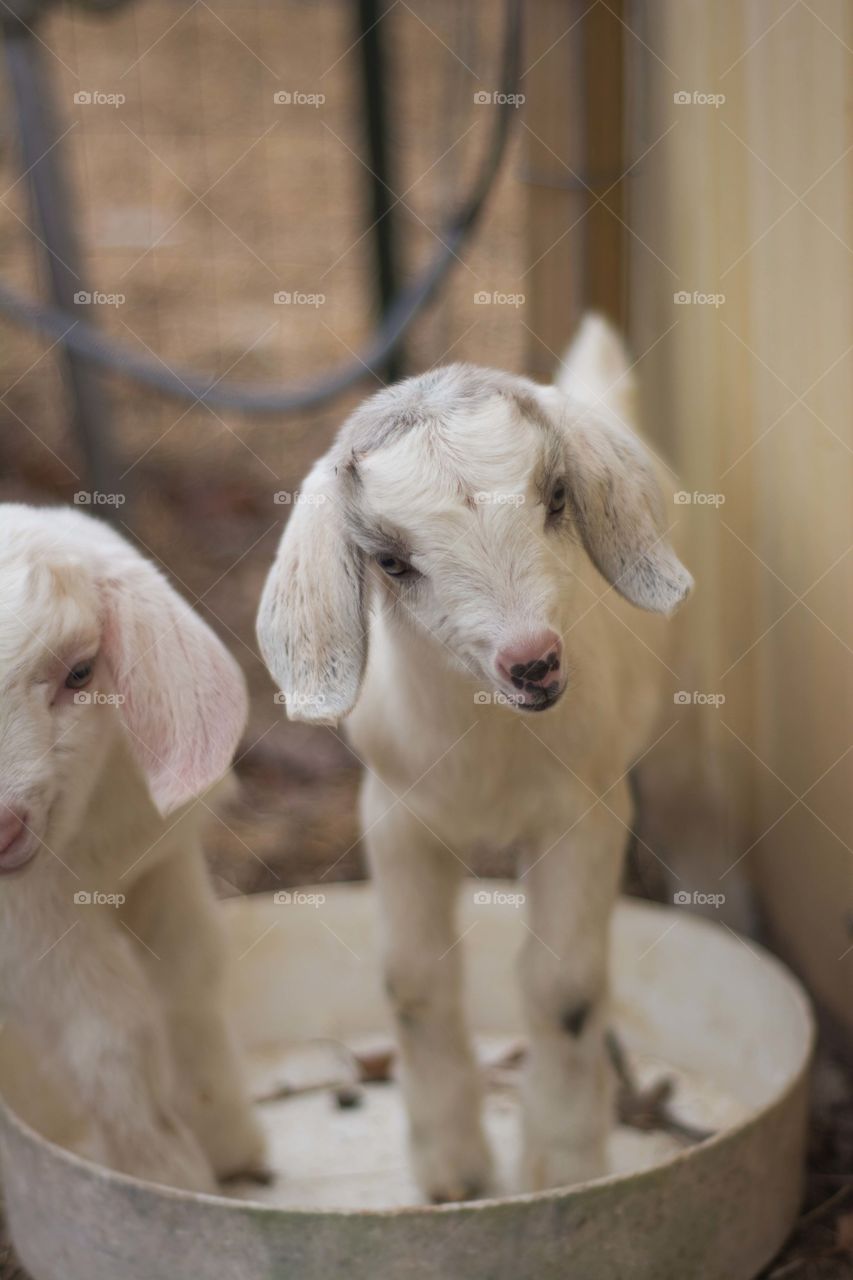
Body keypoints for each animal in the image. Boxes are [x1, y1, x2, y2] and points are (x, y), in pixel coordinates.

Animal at [0, 504, 264, 1192]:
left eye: (80, 672)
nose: (2, 828)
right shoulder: (29, 927)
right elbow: (111, 1035)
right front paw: (168, 1178)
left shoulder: (163, 862)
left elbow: (192, 979)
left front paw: (229, 1137)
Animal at [257, 315, 692, 1203]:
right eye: (391, 560)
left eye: (555, 498)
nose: (532, 664)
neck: (489, 757)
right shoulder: (395, 815)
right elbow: (414, 978)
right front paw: (452, 1171)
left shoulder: (584, 814)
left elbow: (563, 990)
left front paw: (561, 1166)